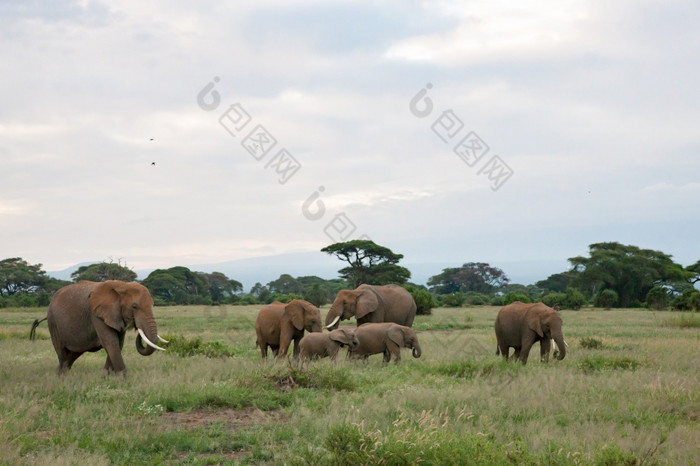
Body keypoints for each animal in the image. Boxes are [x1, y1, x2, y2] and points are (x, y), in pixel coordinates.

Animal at [30, 280, 168, 374]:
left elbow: (118, 344)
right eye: (134, 306)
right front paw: (124, 380)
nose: (137, 326)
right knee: (62, 353)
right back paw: (61, 379)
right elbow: (111, 342)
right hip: (53, 323)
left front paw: (106, 377)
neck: (122, 286)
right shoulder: (96, 315)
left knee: (73, 354)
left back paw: (59, 374)